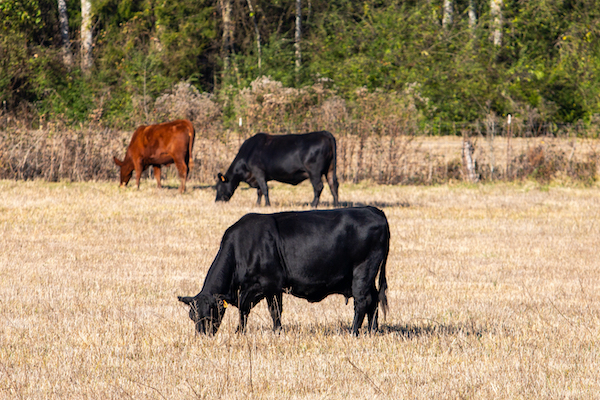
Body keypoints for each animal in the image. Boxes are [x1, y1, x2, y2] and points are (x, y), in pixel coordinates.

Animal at [177, 208, 390, 336]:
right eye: (192, 316)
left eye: (210, 313)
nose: (202, 336)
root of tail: (373, 210)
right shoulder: (261, 290)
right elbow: (258, 311)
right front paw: (255, 332)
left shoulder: (268, 285)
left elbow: (266, 311)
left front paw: (262, 332)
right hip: (368, 276)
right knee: (373, 300)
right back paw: (373, 331)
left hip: (363, 270)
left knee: (362, 301)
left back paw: (353, 332)